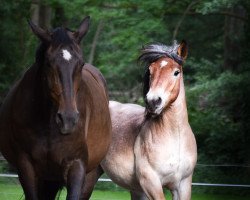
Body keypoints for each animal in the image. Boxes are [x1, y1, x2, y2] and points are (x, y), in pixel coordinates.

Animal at [82, 41, 197, 200]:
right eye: (150, 71)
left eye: (176, 72)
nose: (153, 101)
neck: (175, 138)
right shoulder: (151, 182)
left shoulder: (183, 185)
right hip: (88, 177)